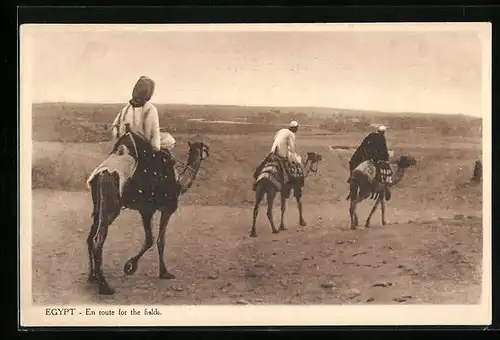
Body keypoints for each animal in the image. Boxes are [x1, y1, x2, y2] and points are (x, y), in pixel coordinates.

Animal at [86, 129, 209, 294]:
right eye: (204, 148)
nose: (208, 151)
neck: (179, 183)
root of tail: (102, 173)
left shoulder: (146, 211)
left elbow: (150, 239)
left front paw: (131, 266)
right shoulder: (165, 209)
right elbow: (158, 241)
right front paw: (159, 272)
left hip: (98, 205)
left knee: (90, 236)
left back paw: (93, 276)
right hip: (111, 206)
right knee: (98, 239)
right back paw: (105, 286)